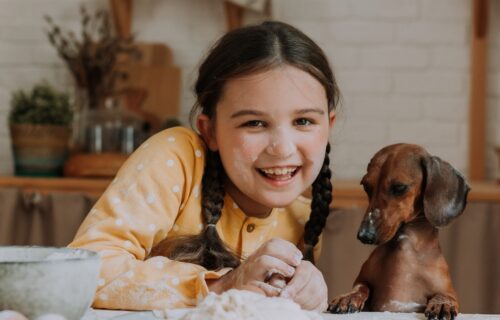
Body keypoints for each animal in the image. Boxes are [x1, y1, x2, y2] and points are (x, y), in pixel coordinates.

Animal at [328, 144, 468, 320]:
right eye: (366, 186)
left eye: (399, 187)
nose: (364, 235)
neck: (406, 247)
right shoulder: (364, 285)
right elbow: (361, 287)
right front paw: (348, 297)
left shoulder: (448, 291)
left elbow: (445, 296)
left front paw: (443, 304)